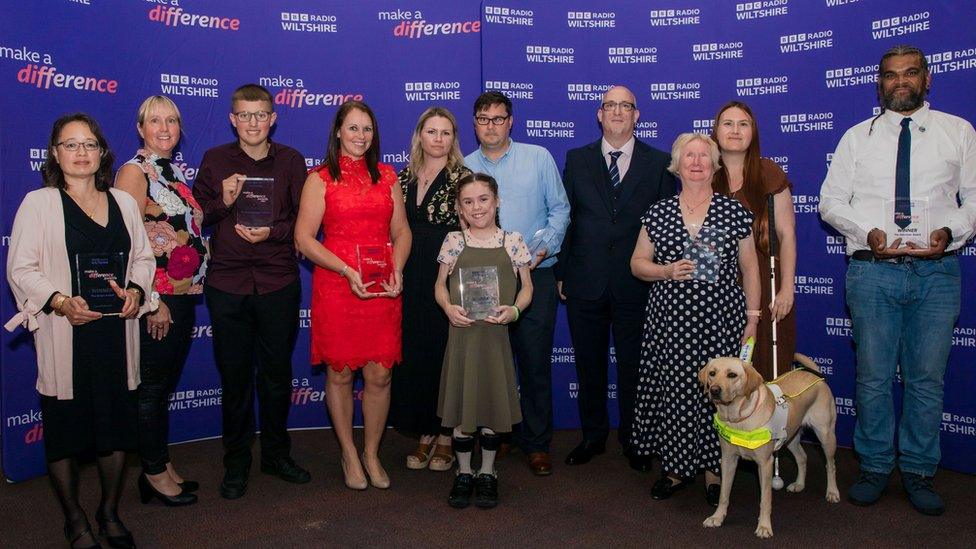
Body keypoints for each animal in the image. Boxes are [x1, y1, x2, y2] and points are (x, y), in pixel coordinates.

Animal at [696, 354, 844, 536]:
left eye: (732, 375)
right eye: (712, 373)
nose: (714, 390)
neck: (738, 419)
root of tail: (816, 375)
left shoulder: (765, 464)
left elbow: (765, 499)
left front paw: (764, 526)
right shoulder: (728, 460)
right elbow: (724, 494)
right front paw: (717, 517)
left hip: (825, 435)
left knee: (830, 465)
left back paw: (832, 492)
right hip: (791, 437)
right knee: (802, 457)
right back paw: (799, 484)